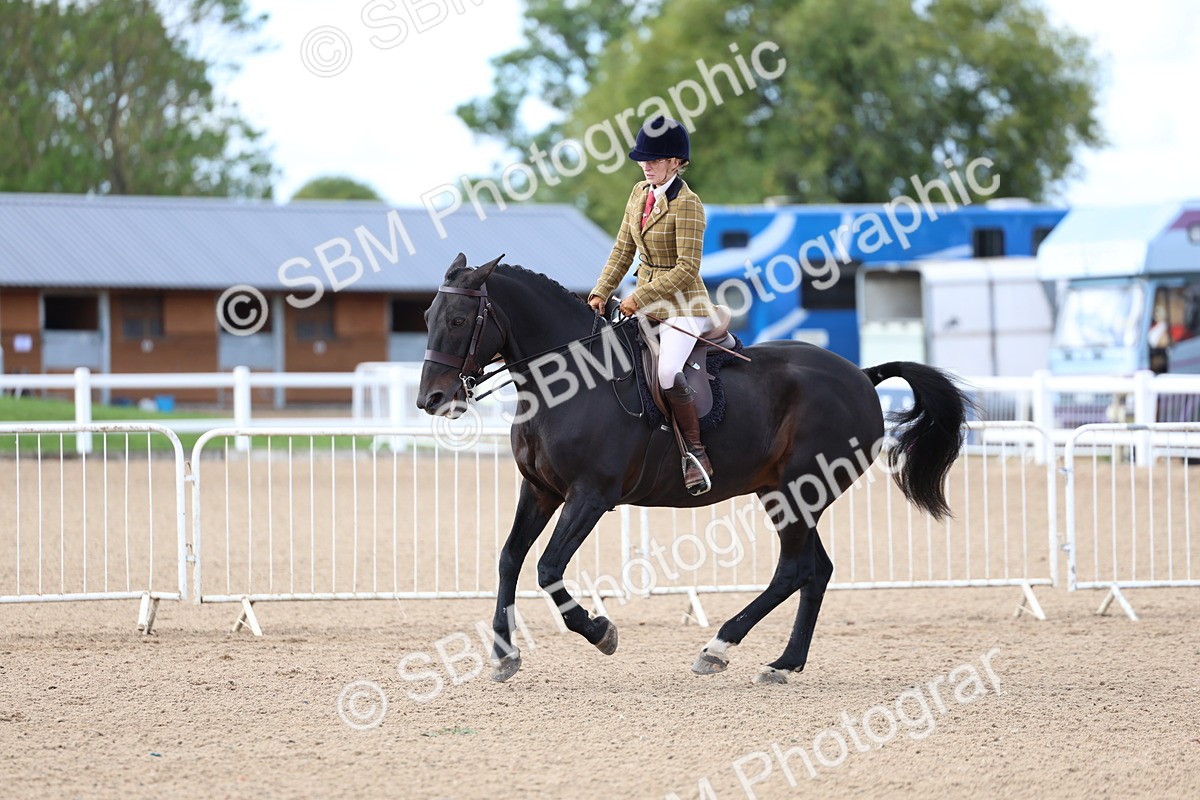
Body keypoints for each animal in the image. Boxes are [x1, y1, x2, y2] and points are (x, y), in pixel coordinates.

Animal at [417, 254, 969, 684]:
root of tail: (861, 375)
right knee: (817, 570)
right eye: (427, 315)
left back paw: (718, 648)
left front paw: (601, 632)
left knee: (794, 569)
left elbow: (548, 568)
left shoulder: (590, 496)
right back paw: (784, 663)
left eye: (460, 320)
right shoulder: (540, 490)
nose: (431, 400)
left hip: (800, 491)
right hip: (784, 493)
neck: (570, 380)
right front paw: (504, 654)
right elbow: (510, 559)